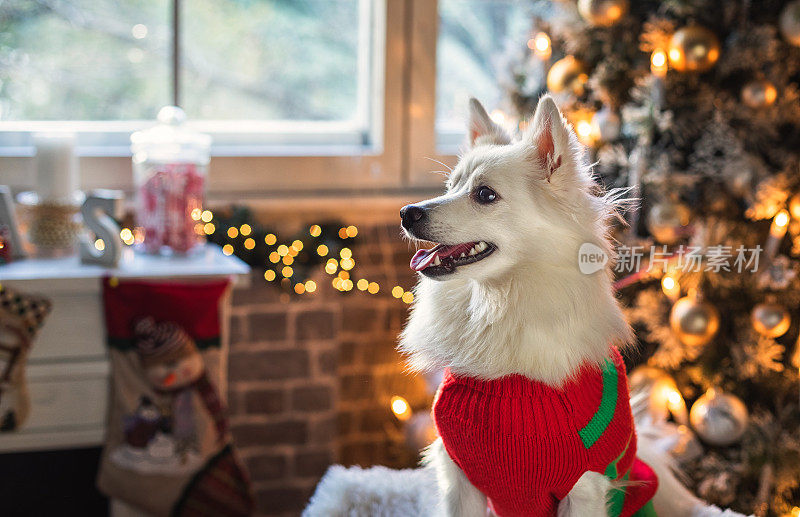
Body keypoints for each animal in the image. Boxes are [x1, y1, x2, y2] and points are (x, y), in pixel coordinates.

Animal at [398, 95, 744, 516]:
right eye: (450, 187)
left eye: (485, 195)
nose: (407, 212)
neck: (499, 305)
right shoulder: (458, 477)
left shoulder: (584, 485)